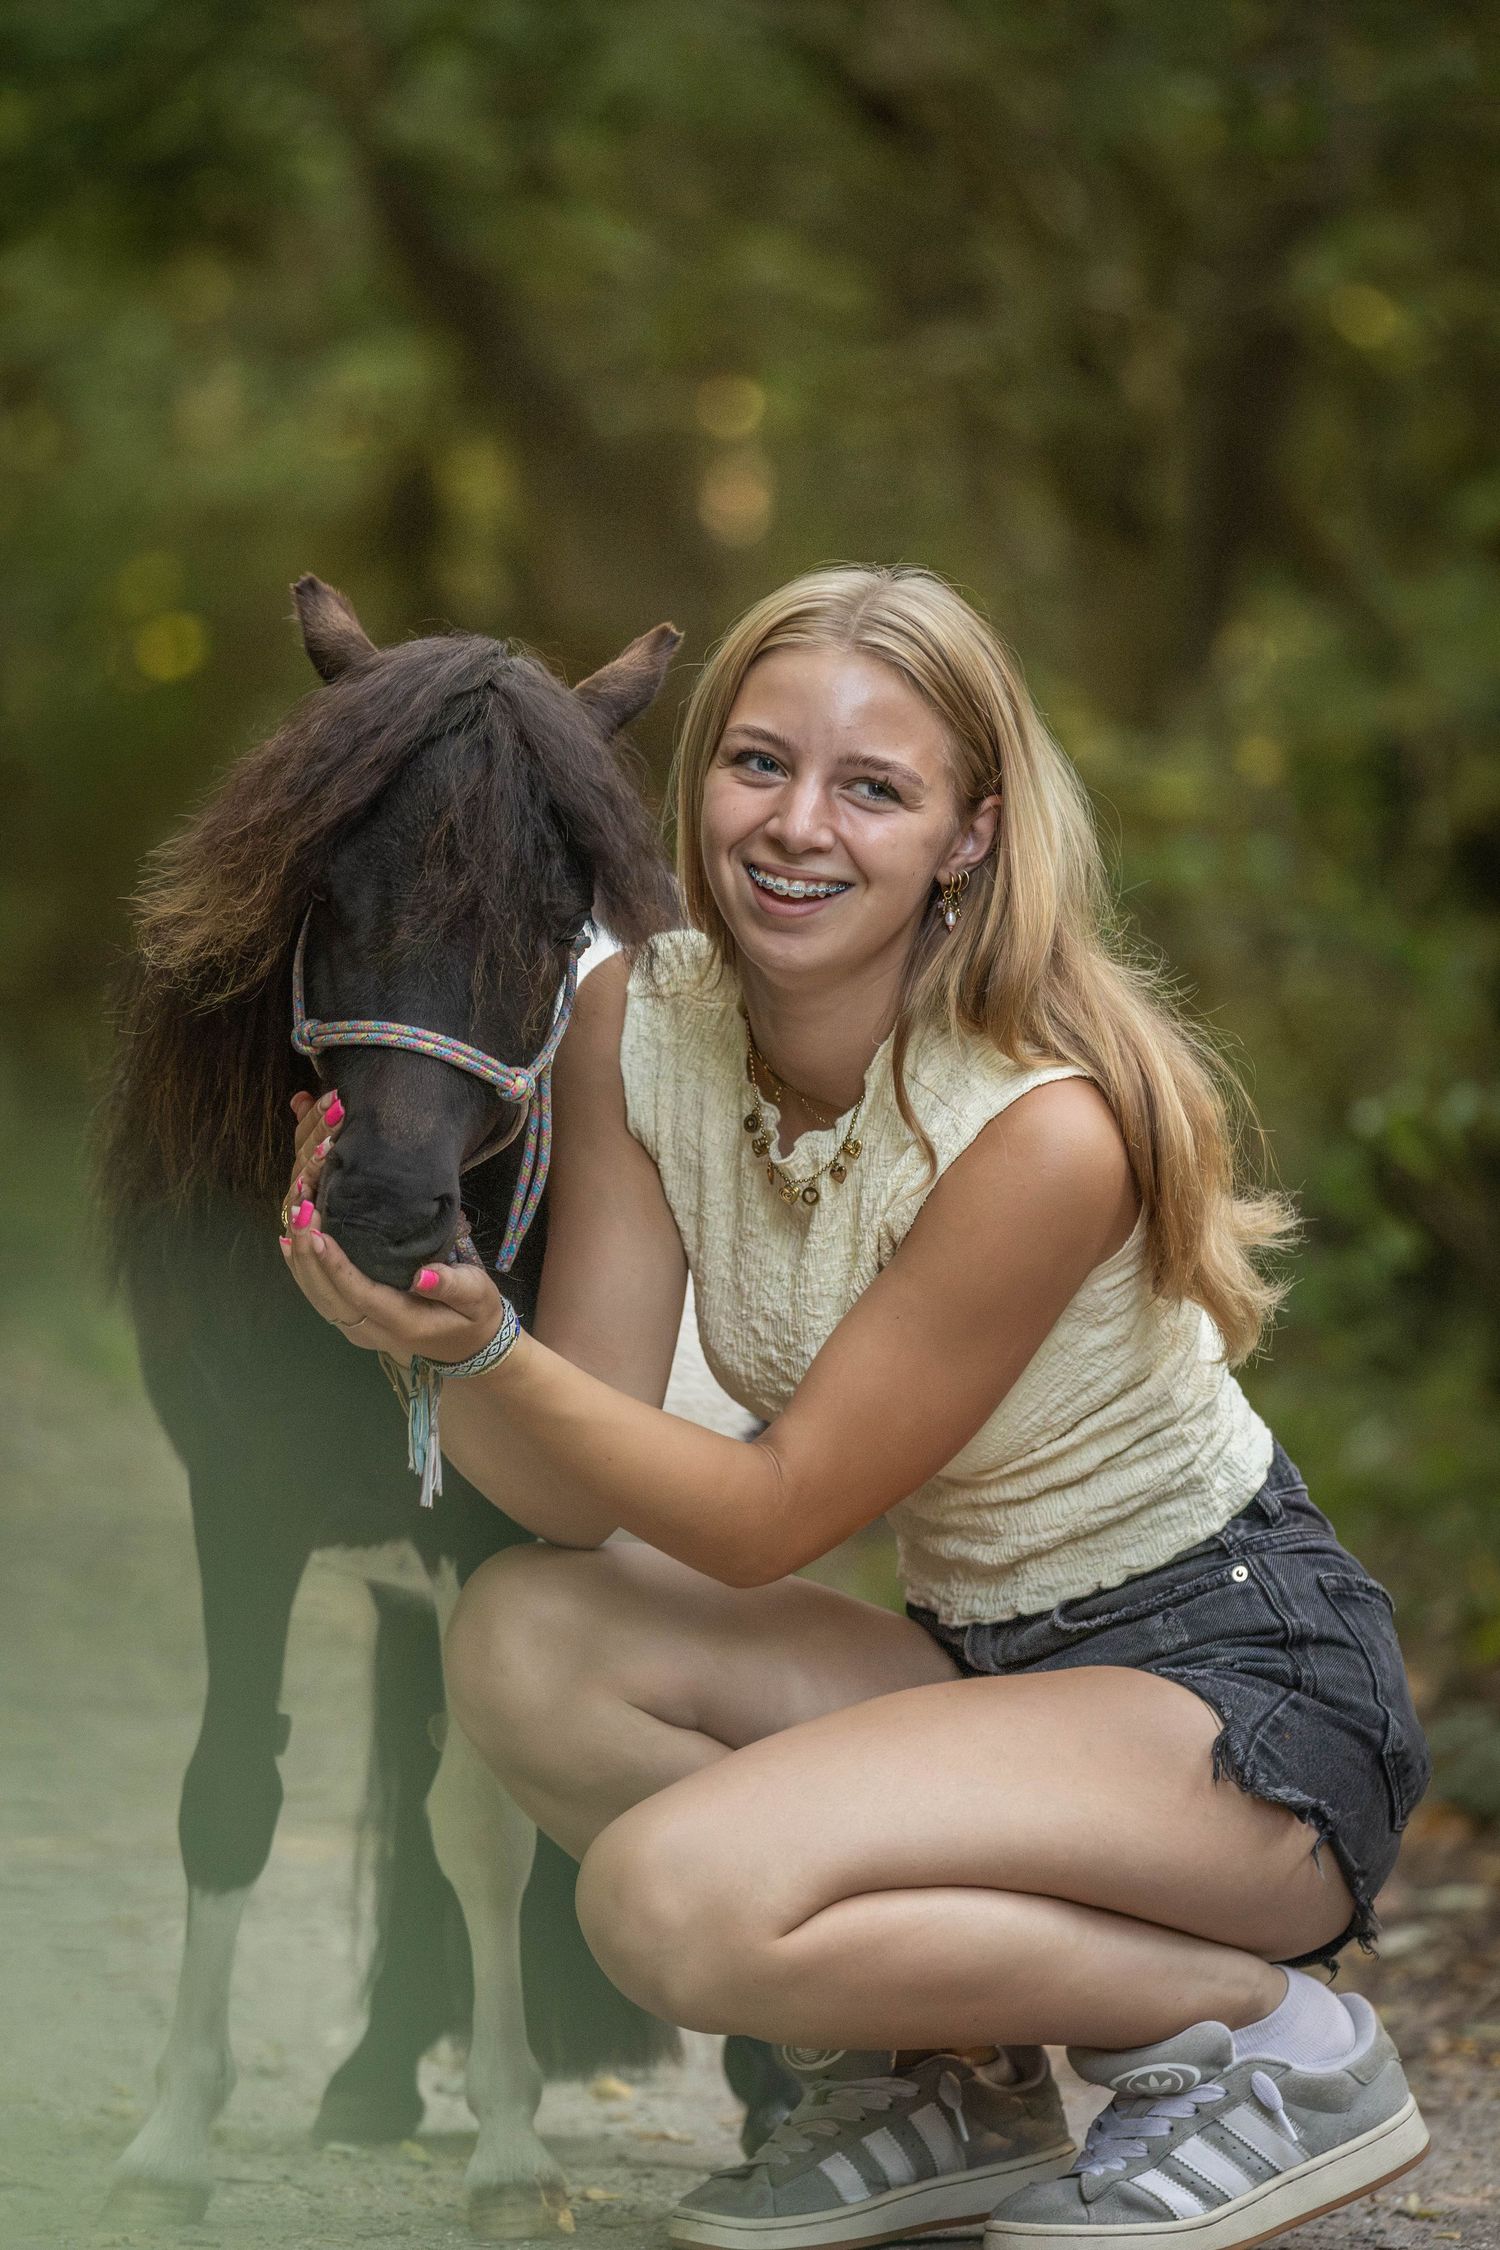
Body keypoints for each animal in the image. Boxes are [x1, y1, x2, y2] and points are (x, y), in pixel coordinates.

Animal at [94, 577, 792, 2236]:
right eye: (324, 885)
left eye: (553, 926)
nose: (388, 1214)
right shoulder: (240, 1505)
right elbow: (230, 1790)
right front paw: (172, 2138)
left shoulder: (494, 1536)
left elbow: (485, 1828)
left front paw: (513, 2150)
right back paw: (373, 2077)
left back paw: (768, 2096)